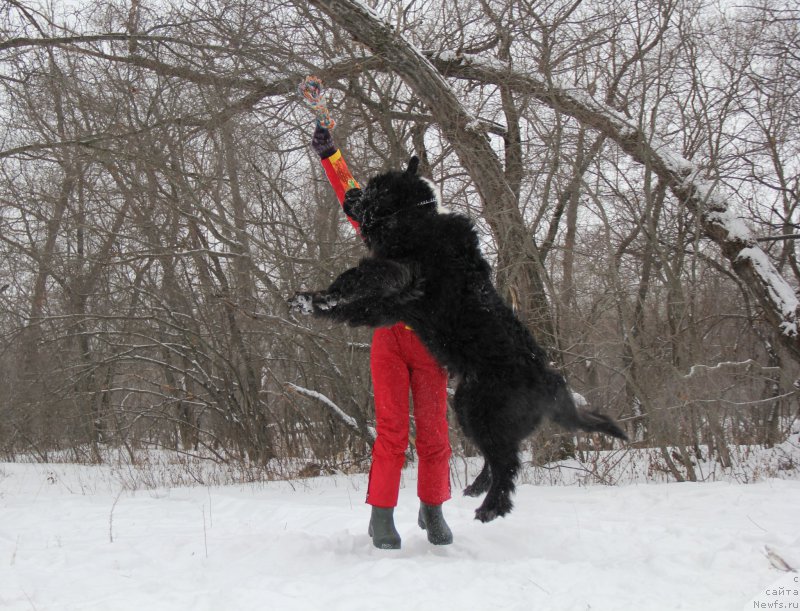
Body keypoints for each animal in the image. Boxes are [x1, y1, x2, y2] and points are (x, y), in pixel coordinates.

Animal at [290, 158, 628, 520]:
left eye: (374, 188)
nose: (351, 194)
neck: (417, 217)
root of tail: (550, 384)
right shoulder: (391, 307)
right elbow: (355, 305)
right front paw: (310, 303)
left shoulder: (397, 274)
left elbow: (355, 280)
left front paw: (317, 298)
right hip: (472, 409)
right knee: (499, 459)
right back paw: (478, 489)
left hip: (479, 408)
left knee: (507, 465)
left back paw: (491, 507)